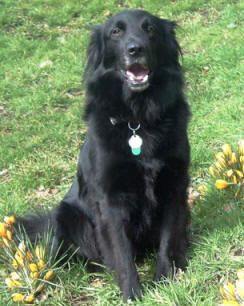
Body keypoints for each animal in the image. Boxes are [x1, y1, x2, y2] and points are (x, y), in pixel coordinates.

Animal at [18, 8, 191, 302]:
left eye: (150, 29)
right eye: (116, 32)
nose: (135, 49)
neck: (138, 120)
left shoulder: (173, 185)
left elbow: (168, 240)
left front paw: (165, 281)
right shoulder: (110, 200)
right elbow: (121, 252)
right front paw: (132, 294)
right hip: (67, 216)